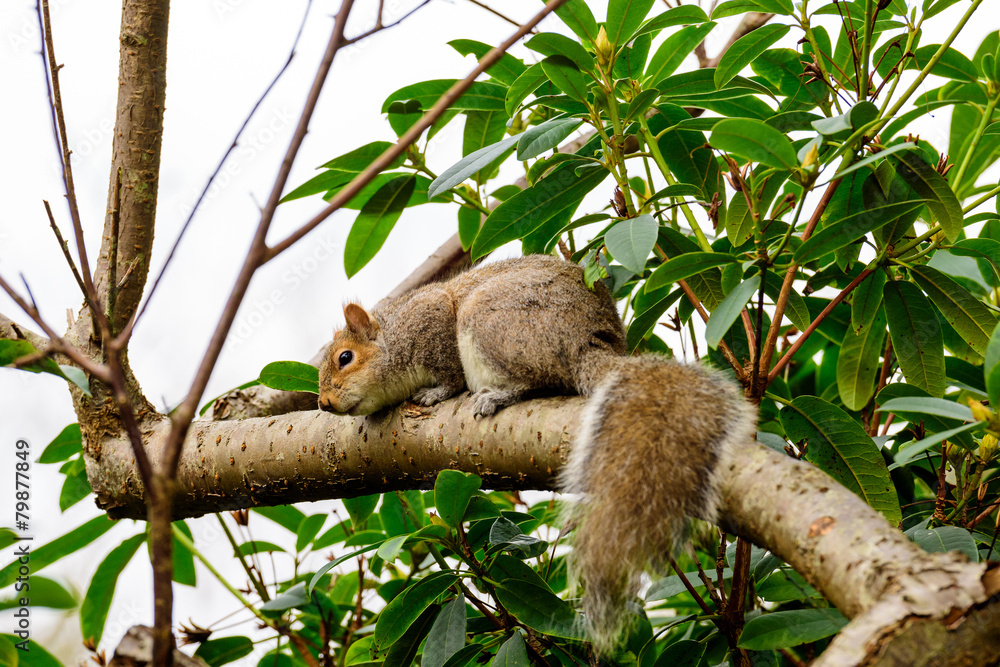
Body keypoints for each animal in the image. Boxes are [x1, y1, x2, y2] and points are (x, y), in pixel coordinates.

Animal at [318, 254, 756, 648]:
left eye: (345, 358)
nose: (323, 403)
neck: (393, 333)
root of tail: (586, 342)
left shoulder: (432, 323)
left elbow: (450, 374)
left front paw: (435, 392)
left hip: (490, 323)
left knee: (536, 379)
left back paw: (497, 395)